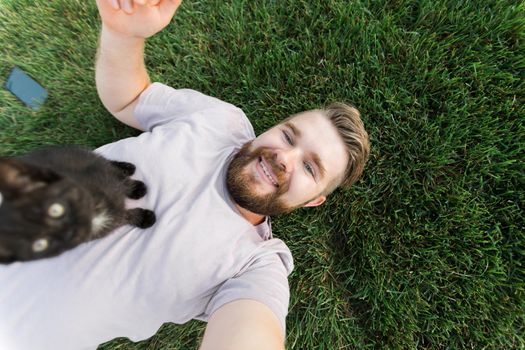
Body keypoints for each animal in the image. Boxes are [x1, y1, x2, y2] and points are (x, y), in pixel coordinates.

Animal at [0, 146, 156, 264]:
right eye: (40, 245)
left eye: (55, 209)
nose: (68, 232)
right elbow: (124, 217)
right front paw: (141, 217)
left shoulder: (98, 171)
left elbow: (122, 181)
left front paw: (135, 189)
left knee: (104, 161)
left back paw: (126, 168)